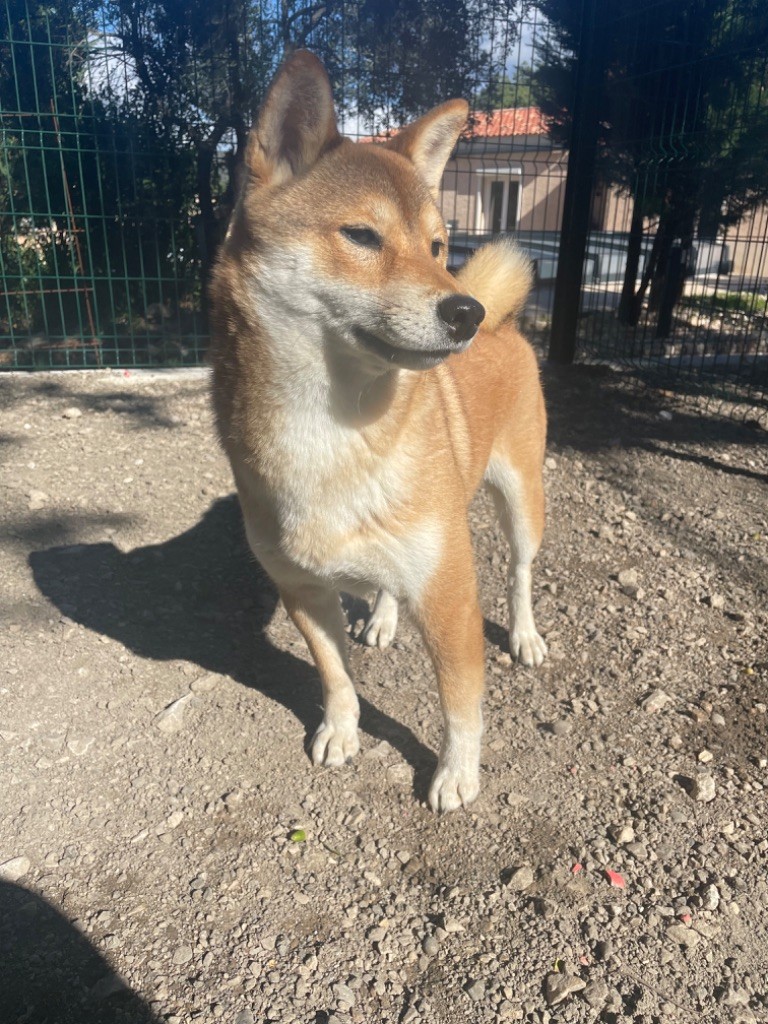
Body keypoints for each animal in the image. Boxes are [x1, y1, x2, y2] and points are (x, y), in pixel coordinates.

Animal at [210, 49, 548, 815]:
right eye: (362, 235)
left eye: (437, 246)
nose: (465, 311)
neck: (332, 431)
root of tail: (507, 323)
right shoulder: (302, 590)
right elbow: (335, 677)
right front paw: (340, 730)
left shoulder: (451, 599)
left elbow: (460, 704)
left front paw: (456, 774)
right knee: (389, 583)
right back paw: (386, 619)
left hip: (520, 502)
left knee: (520, 572)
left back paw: (525, 634)